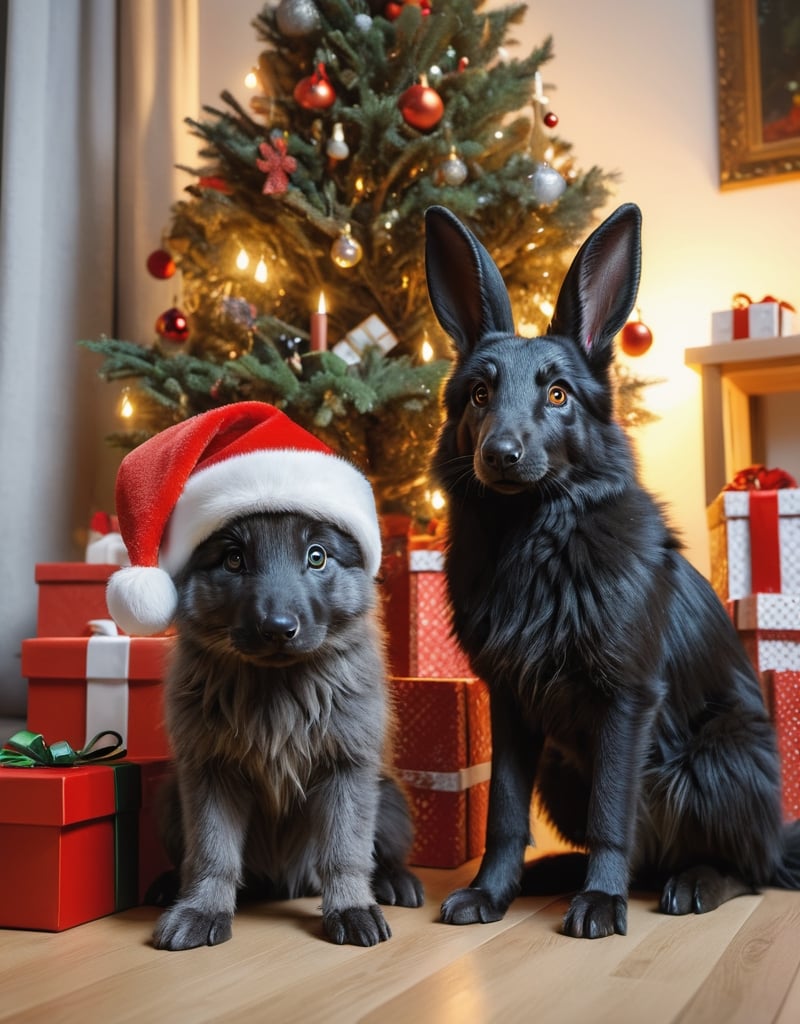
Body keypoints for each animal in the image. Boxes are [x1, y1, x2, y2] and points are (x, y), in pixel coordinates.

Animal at [150, 512, 424, 950]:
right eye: (233, 559)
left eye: (317, 556)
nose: (278, 629)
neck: (276, 689)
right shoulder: (209, 774)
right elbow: (212, 852)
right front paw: (201, 909)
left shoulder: (346, 770)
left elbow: (346, 850)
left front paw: (351, 908)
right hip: (169, 798)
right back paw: (168, 884)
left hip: (391, 799)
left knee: (379, 855)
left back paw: (395, 881)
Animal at [424, 203, 798, 937]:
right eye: (479, 394)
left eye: (558, 395)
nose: (500, 455)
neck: (536, 543)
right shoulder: (511, 705)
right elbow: (503, 813)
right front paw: (489, 892)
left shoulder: (626, 701)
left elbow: (611, 814)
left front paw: (600, 901)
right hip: (560, 769)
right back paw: (555, 874)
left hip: (711, 760)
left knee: (751, 868)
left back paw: (694, 883)